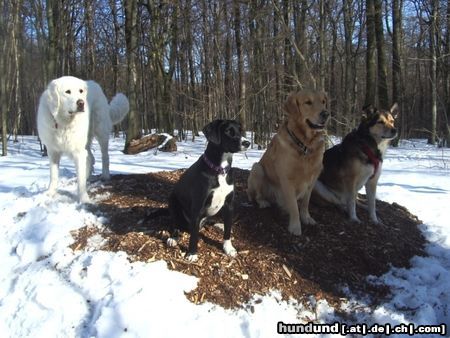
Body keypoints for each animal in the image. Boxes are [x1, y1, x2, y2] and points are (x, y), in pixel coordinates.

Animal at [167, 120, 250, 262]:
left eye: (240, 130)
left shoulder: (229, 205)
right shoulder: (198, 206)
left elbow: (228, 231)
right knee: (175, 222)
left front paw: (228, 248)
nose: (247, 143)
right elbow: (194, 235)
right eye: (228, 131)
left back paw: (219, 225)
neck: (219, 170)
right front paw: (192, 253)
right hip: (173, 201)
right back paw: (173, 237)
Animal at [246, 91, 330, 236]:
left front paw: (306, 218)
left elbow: (305, 202)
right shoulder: (287, 179)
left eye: (323, 101)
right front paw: (295, 226)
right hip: (257, 168)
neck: (305, 145)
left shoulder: (313, 178)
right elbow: (294, 206)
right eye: (308, 102)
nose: (325, 114)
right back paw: (263, 202)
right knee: (257, 195)